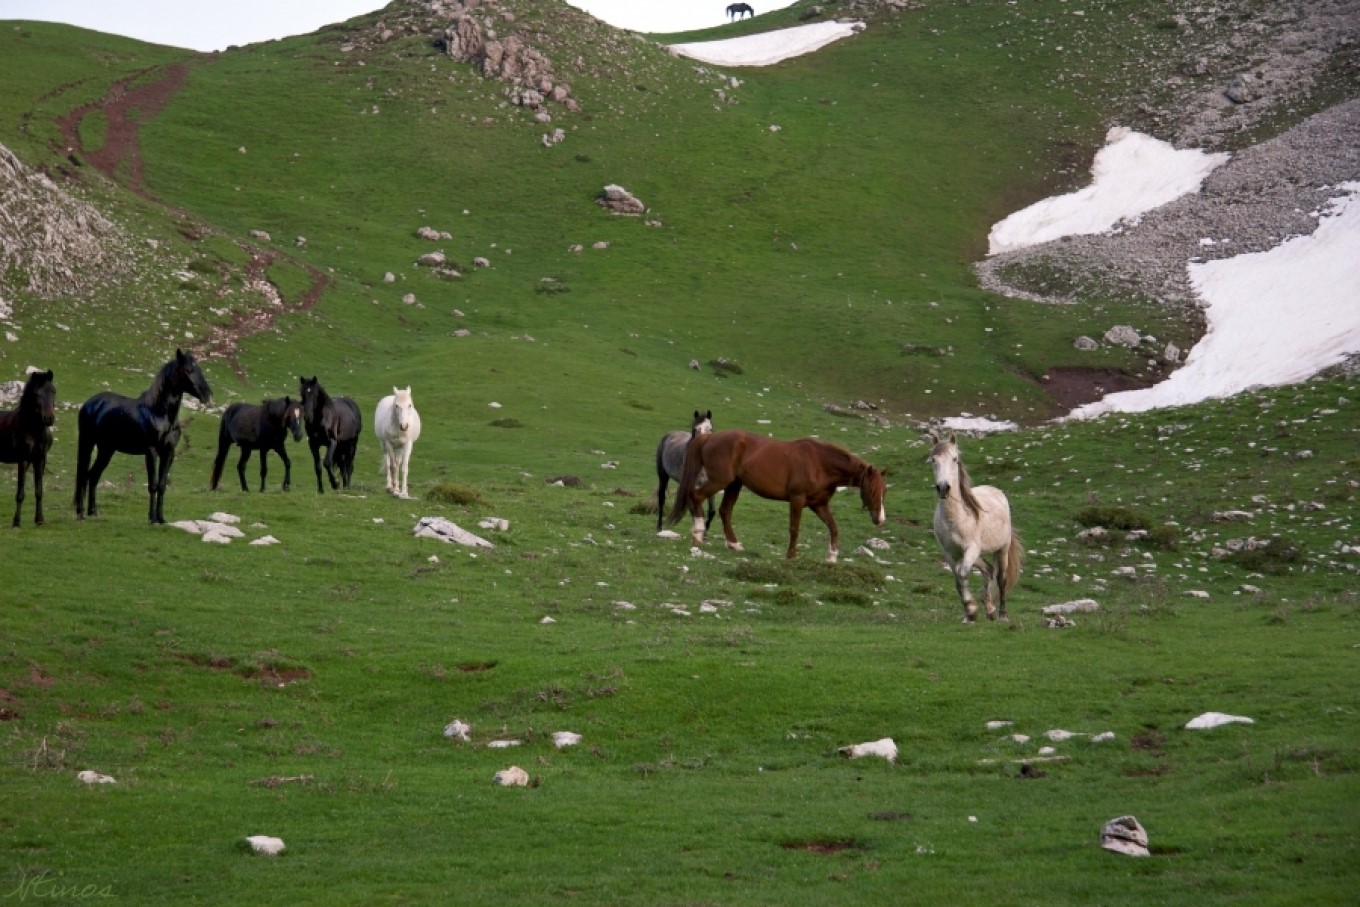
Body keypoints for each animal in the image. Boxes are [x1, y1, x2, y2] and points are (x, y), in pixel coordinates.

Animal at [0, 367, 56, 527]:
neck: (32, 429)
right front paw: (16, 522)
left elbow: (39, 491)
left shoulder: (40, 459)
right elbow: (20, 493)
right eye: (37, 394)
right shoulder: (23, 459)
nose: (49, 419)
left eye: (53, 391)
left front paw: (39, 519)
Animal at [74, 350, 210, 527]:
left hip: (106, 449)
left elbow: (162, 485)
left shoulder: (168, 452)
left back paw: (93, 513)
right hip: (87, 443)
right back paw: (81, 514)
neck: (159, 414)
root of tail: (89, 403)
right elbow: (152, 485)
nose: (207, 394)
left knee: (93, 475)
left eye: (198, 368)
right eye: (188, 370)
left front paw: (161, 518)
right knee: (83, 475)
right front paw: (152, 519)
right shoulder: (151, 451)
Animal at [671, 429, 892, 562]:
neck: (820, 464)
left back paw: (734, 544)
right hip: (720, 481)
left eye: (885, 491)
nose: (880, 519)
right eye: (871, 491)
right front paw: (791, 556)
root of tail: (709, 437)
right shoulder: (797, 500)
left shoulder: (819, 505)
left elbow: (834, 528)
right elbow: (794, 529)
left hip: (734, 485)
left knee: (725, 511)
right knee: (696, 496)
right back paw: (698, 534)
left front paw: (831, 557)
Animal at [930, 432, 1022, 625]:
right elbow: (958, 580)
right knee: (988, 570)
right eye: (933, 459)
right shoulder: (950, 553)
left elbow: (963, 574)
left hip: (1001, 550)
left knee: (1001, 579)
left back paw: (1002, 614)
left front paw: (971, 610)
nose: (943, 488)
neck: (956, 518)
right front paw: (968, 615)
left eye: (955, 459)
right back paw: (989, 609)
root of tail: (996, 491)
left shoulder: (971, 549)